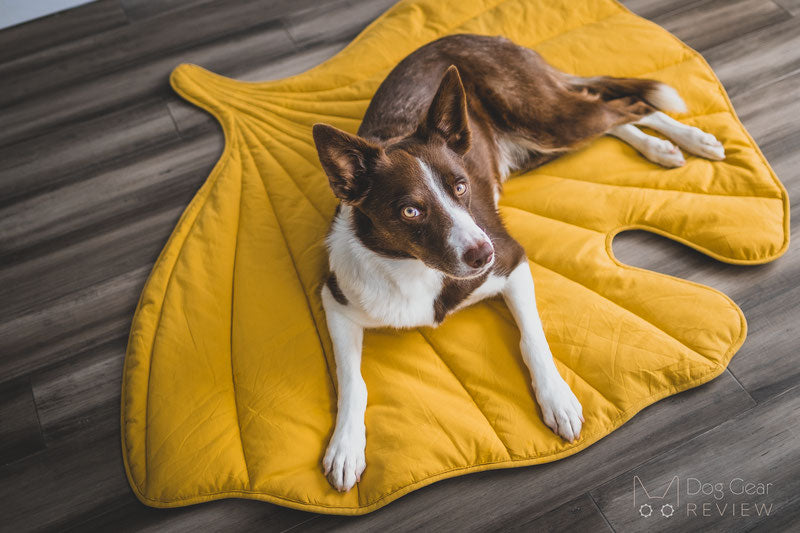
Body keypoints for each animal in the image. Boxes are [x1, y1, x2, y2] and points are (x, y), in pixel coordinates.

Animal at [312, 33, 724, 490]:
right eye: (410, 211)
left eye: (461, 186)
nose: (482, 254)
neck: (418, 270)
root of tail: (486, 37)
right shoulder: (336, 299)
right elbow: (353, 382)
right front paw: (346, 446)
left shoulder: (512, 261)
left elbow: (533, 339)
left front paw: (557, 398)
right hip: (536, 148)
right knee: (611, 115)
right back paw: (658, 146)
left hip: (542, 119)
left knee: (625, 105)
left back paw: (688, 139)